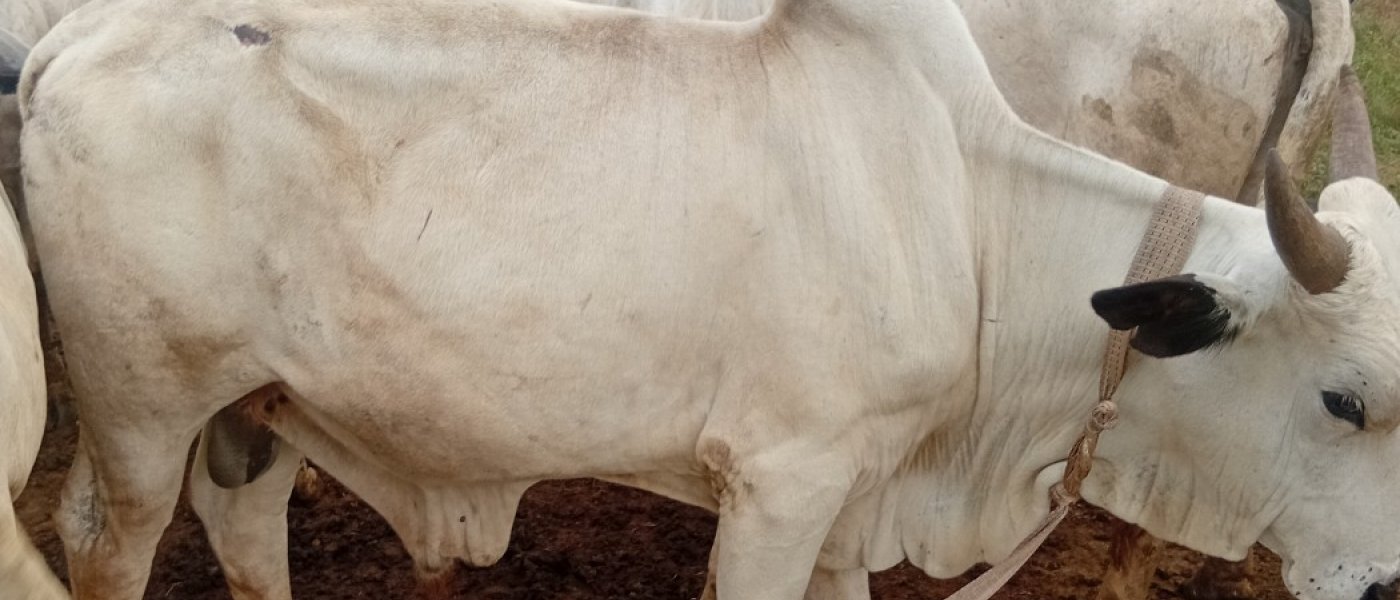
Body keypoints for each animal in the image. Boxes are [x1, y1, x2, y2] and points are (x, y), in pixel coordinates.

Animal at [17, 1, 1400, 600]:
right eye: (1342, 401)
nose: (1385, 587)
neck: (969, 224)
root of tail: (73, 34)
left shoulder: (852, 492)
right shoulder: (782, 483)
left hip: (251, 399)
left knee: (243, 520)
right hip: (143, 404)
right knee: (109, 540)